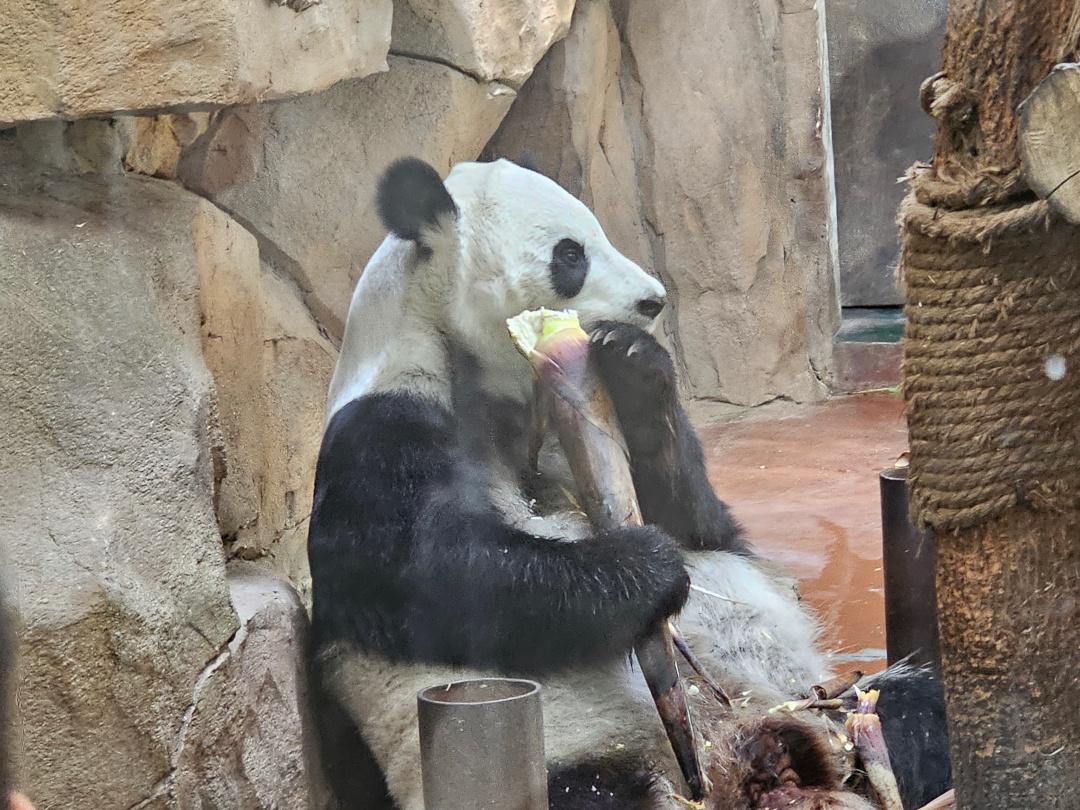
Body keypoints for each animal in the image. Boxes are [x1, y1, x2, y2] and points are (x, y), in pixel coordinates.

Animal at [307, 157, 951, 810]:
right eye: (570, 254)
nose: (652, 301)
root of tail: (749, 758)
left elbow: (705, 526)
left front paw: (634, 361)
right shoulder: (383, 425)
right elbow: (416, 573)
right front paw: (645, 568)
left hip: (825, 703)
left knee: (914, 708)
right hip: (573, 756)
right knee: (600, 790)